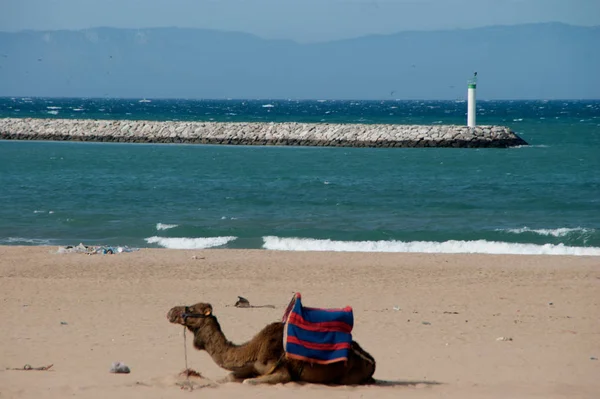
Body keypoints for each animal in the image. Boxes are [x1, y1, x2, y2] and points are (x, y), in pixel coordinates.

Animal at [169, 304, 376, 384]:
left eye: (191, 309)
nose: (171, 311)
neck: (253, 349)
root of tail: (372, 361)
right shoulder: (252, 365)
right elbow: (231, 376)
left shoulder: (280, 370)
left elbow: (249, 381)